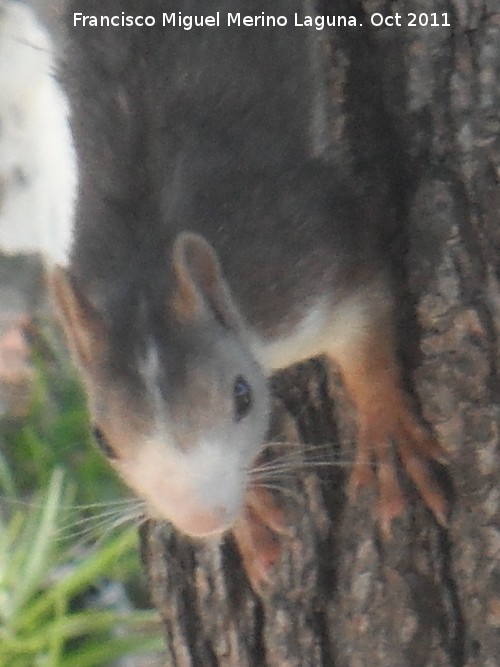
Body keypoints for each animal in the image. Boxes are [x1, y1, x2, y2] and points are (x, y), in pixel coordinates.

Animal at [51, 0, 450, 584]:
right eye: (102, 439)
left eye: (243, 396)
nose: (203, 517)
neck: (145, 262)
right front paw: (249, 515)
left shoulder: (301, 262)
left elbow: (363, 319)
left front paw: (384, 435)